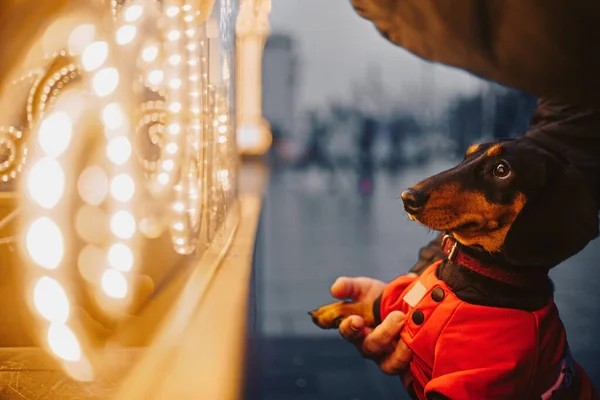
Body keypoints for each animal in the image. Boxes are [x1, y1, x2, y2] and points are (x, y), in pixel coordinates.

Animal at [310, 138, 600, 400]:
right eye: (466, 155)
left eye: (501, 169)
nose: (408, 197)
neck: (472, 272)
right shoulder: (398, 299)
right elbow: (375, 304)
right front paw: (334, 311)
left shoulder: (467, 380)